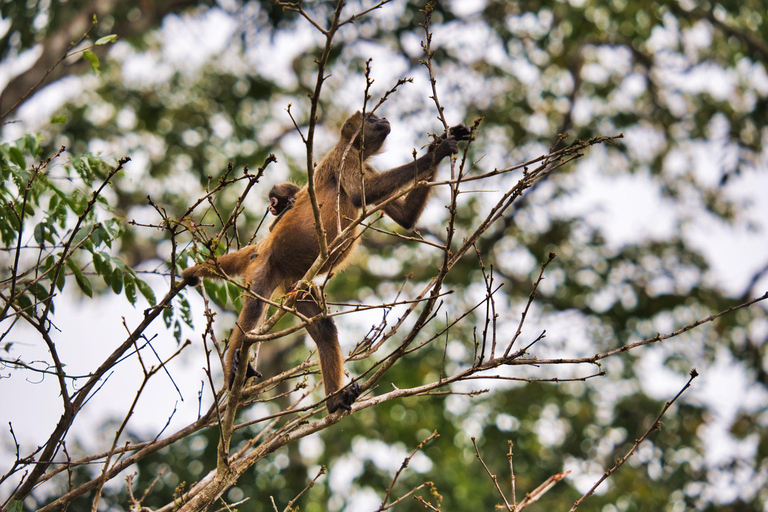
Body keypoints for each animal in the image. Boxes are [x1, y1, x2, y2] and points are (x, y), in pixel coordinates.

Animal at [184, 113, 468, 412]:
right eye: (372, 118)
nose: (383, 118)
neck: (355, 151)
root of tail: (262, 248)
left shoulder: (365, 165)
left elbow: (405, 218)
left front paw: (443, 139)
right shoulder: (344, 155)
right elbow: (360, 194)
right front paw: (439, 149)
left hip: (295, 285)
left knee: (324, 329)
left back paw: (335, 401)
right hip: (265, 265)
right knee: (254, 308)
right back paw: (234, 372)